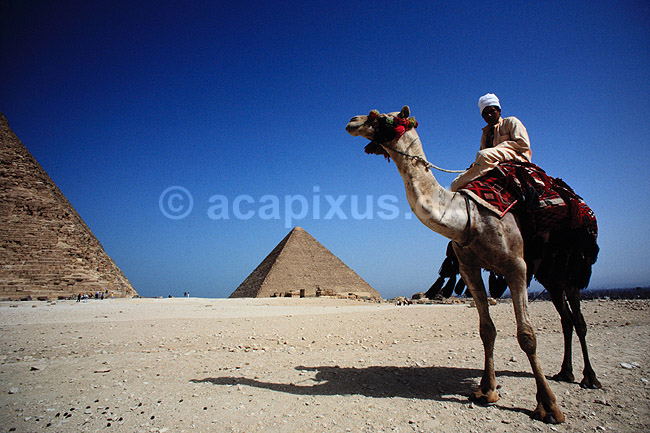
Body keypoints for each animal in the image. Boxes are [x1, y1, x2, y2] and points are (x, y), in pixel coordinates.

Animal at [346, 106, 601, 424]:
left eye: (380, 117)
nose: (352, 121)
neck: (468, 216)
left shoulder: (516, 266)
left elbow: (527, 335)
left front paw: (548, 406)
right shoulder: (469, 269)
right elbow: (486, 330)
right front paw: (486, 391)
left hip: (570, 270)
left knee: (578, 320)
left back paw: (589, 378)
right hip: (549, 275)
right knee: (566, 319)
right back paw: (565, 372)